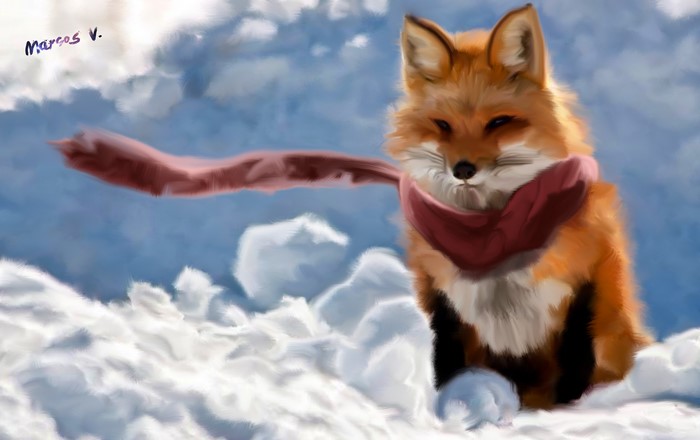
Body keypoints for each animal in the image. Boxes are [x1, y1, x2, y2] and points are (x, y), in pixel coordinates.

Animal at [385, 4, 654, 409]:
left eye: (499, 122)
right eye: (443, 125)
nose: (463, 169)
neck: (491, 234)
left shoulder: (584, 290)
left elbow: (574, 373)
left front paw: (568, 413)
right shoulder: (443, 300)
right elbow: (449, 367)